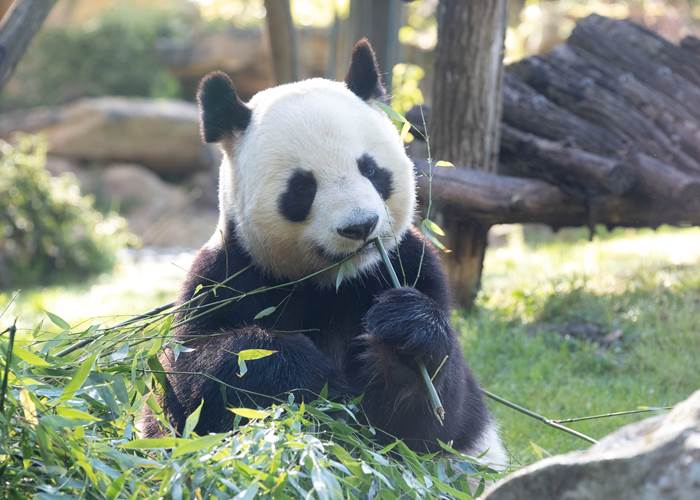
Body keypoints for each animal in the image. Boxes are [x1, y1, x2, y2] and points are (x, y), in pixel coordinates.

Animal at [143, 39, 506, 468]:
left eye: (371, 170)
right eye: (303, 187)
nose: (360, 226)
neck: (332, 281)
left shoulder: (412, 264)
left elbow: (437, 417)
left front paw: (403, 330)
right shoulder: (223, 278)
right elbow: (189, 382)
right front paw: (304, 370)